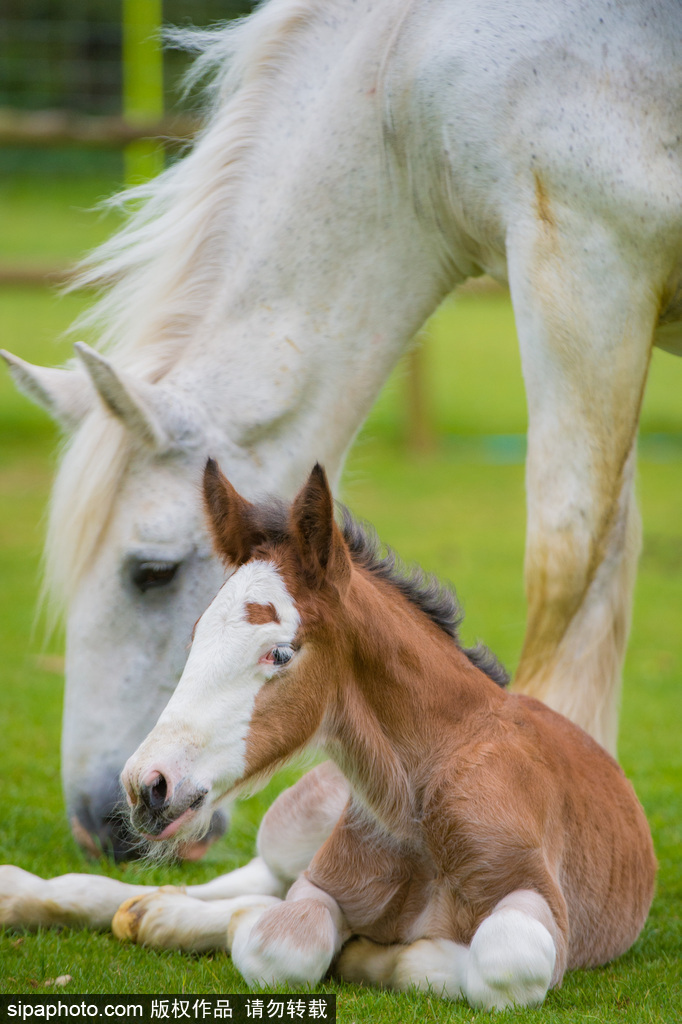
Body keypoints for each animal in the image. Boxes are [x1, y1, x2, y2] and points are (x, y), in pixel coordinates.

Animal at [2, 0, 675, 860]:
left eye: (150, 572)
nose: (106, 822)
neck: (403, 76)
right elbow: (611, 559)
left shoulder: (588, 270)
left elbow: (570, 561)